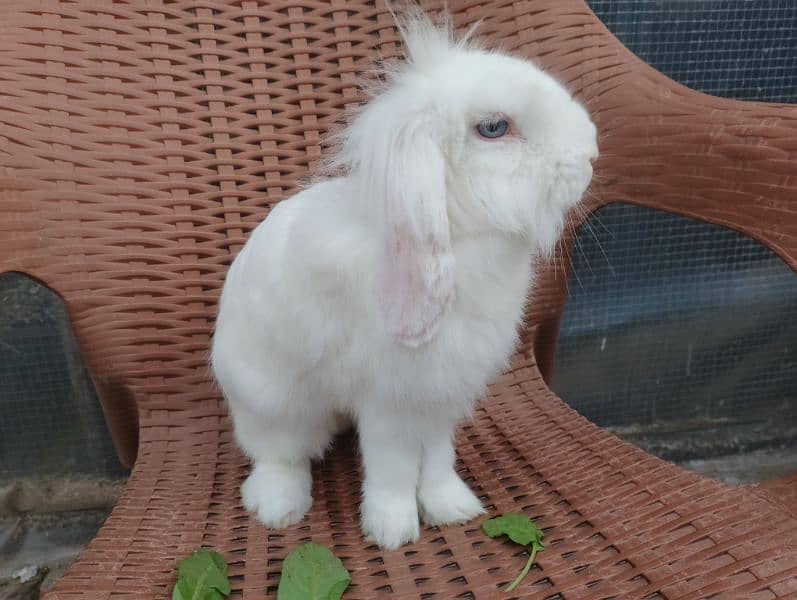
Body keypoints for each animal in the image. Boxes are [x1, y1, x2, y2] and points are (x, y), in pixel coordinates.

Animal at [211, 9, 596, 548]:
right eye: (494, 127)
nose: (591, 154)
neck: (460, 237)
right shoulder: (389, 400)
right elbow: (392, 467)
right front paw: (392, 530)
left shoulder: (439, 397)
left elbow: (436, 459)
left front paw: (451, 508)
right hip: (272, 404)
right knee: (278, 454)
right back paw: (280, 508)